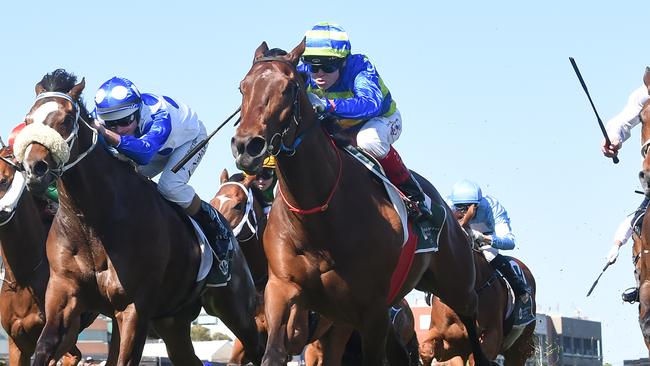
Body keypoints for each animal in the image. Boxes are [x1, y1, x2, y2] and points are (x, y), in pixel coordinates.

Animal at [13, 69, 260, 366]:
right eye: (28, 119)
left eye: (67, 119)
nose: (34, 169)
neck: (92, 224)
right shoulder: (64, 297)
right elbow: (43, 348)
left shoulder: (134, 308)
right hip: (172, 321)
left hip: (236, 309)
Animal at [230, 40, 488, 366]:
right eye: (242, 87)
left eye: (288, 88)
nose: (246, 146)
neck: (320, 217)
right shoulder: (282, 288)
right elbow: (272, 353)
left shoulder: (372, 309)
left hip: (456, 285)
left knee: (473, 326)